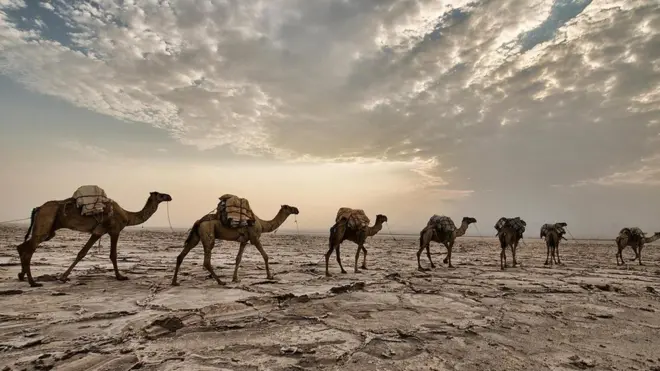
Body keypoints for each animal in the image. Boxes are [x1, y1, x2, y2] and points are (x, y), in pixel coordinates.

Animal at [17, 192, 173, 288]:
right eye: (160, 194)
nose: (169, 196)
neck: (127, 216)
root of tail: (38, 208)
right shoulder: (114, 230)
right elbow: (113, 255)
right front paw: (120, 276)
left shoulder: (98, 232)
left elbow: (82, 253)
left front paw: (63, 277)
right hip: (45, 222)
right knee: (29, 250)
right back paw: (33, 282)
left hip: (50, 229)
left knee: (22, 246)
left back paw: (21, 275)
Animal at [170, 205, 300, 286]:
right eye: (289, 207)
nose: (297, 209)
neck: (262, 224)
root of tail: (198, 222)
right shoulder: (254, 238)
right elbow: (265, 256)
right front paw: (269, 276)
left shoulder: (244, 240)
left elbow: (238, 258)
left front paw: (235, 278)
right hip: (208, 233)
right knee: (206, 260)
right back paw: (221, 282)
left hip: (196, 236)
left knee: (181, 256)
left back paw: (174, 282)